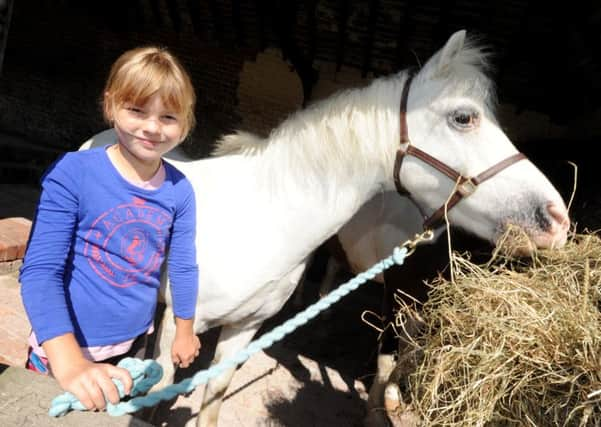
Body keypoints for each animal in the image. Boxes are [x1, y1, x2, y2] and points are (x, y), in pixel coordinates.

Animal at [79, 30, 568, 427]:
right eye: (463, 117)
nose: (556, 218)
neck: (262, 219)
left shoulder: (245, 328)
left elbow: (213, 393)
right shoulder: (186, 325)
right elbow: (164, 383)